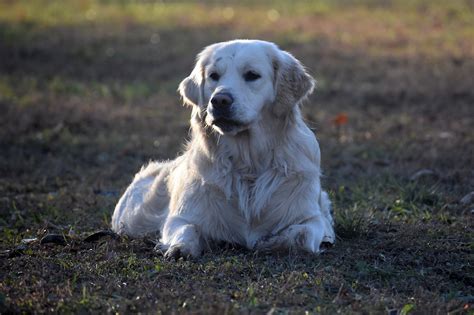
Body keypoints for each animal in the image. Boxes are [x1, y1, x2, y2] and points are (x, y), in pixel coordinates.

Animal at [111, 39, 336, 258]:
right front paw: (179, 248)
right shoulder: (181, 216)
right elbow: (186, 229)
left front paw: (267, 242)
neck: (248, 163)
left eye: (252, 75)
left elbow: (302, 237)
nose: (219, 100)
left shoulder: (309, 217)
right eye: (213, 76)